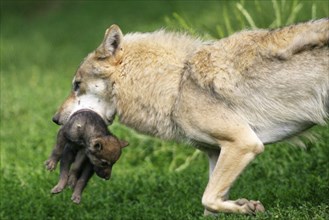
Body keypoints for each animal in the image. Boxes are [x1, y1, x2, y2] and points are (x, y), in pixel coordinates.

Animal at [52, 18, 328, 213]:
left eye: (76, 85)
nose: (55, 119)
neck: (176, 84)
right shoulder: (216, 153)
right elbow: (210, 205)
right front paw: (243, 205)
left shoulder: (244, 144)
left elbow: (208, 198)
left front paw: (247, 206)